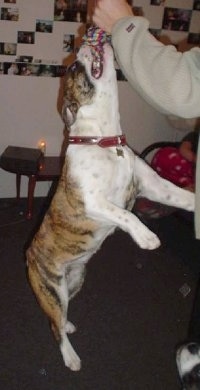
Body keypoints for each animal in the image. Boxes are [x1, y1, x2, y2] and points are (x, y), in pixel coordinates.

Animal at [26, 40, 194, 372]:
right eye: (73, 68)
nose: (83, 42)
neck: (106, 141)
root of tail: (28, 254)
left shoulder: (154, 186)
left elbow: (180, 196)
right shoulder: (91, 200)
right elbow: (124, 214)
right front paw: (146, 237)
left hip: (75, 281)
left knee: (61, 316)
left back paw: (68, 325)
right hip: (51, 289)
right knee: (53, 324)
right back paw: (70, 356)